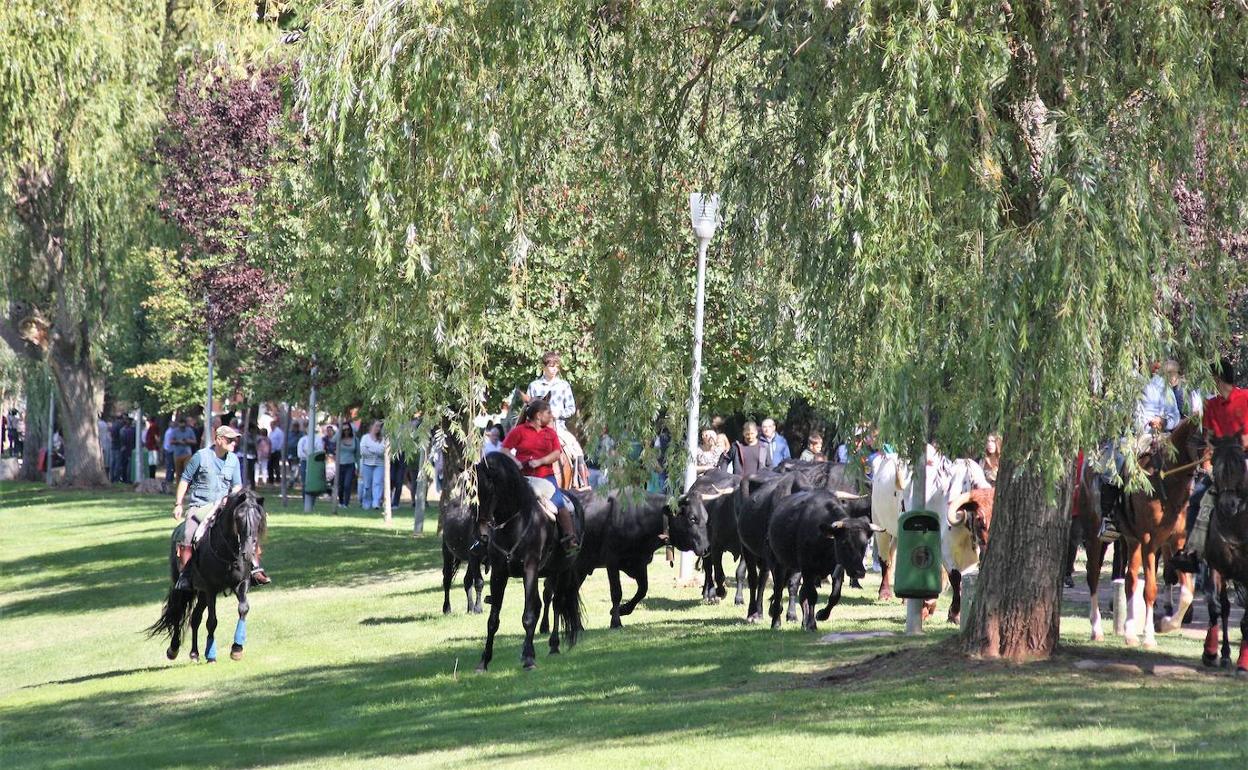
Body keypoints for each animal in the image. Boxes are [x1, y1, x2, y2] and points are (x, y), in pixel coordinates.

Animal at [149, 486, 270, 658]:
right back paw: (174, 648)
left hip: (201, 593)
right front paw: (211, 654)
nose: (247, 552)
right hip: (187, 589)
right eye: (238, 517)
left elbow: (243, 608)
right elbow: (212, 621)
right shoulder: (211, 588)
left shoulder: (241, 583)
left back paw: (194, 653)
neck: (228, 552)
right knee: (178, 612)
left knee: (195, 618)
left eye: (259, 518)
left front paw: (237, 648)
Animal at [471, 454, 584, 668]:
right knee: (545, 601)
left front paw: (530, 658)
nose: (482, 533)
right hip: (549, 572)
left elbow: (529, 615)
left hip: (563, 570)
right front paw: (484, 660)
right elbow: (493, 619)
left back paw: (554, 645)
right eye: (475, 492)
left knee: (557, 603)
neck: (515, 522)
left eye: (491, 489)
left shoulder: (529, 568)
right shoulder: (499, 572)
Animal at [763, 486, 873, 631]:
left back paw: (803, 622)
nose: (860, 572)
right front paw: (811, 624)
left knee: (799, 592)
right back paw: (776, 621)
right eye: (844, 543)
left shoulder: (837, 569)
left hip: (797, 568)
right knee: (778, 590)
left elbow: (834, 595)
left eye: (864, 544)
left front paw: (821, 615)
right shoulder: (808, 568)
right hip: (779, 563)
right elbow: (812, 595)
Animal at [1123, 416, 1198, 643]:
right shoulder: (1150, 542)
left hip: (1134, 540)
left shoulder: (1176, 542)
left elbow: (1187, 591)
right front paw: (1149, 636)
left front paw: (1166, 624)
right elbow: (1150, 589)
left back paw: (1130, 632)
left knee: (1130, 580)